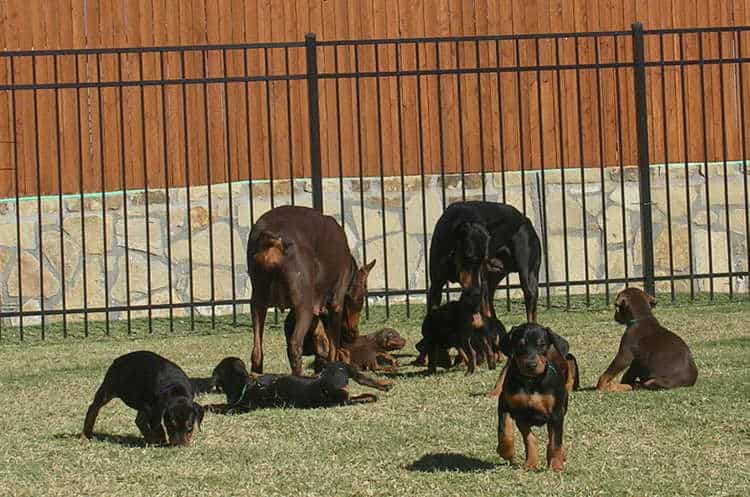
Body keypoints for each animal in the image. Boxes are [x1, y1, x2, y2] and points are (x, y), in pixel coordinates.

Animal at [210, 356, 394, 410]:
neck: (245, 385)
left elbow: (219, 407)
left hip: (338, 372)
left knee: (362, 382)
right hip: (339, 372)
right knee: (363, 381)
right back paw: (383, 387)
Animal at [500, 324, 576, 470]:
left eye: (542, 344)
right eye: (520, 345)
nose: (531, 365)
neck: (531, 381)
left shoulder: (556, 414)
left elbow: (555, 442)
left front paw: (556, 465)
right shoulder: (509, 408)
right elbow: (508, 432)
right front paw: (514, 455)